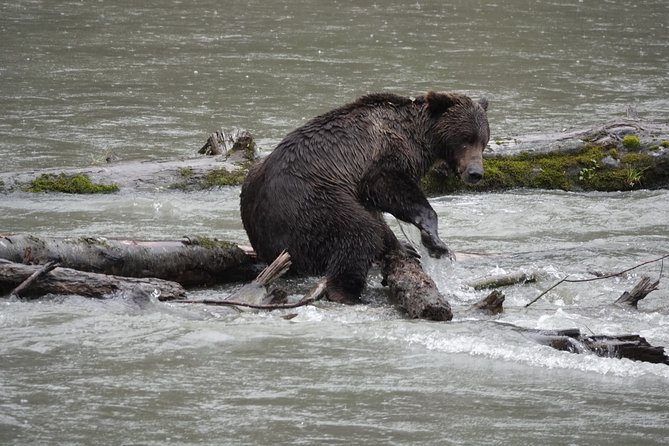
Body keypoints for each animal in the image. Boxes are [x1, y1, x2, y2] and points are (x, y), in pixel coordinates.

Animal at [240, 93, 490, 304]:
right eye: (465, 139)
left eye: (483, 140)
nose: (475, 173)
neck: (420, 137)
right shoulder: (380, 156)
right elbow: (389, 187)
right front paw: (434, 240)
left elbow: (378, 212)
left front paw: (405, 247)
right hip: (313, 201)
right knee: (358, 232)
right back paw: (347, 292)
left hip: (254, 185)